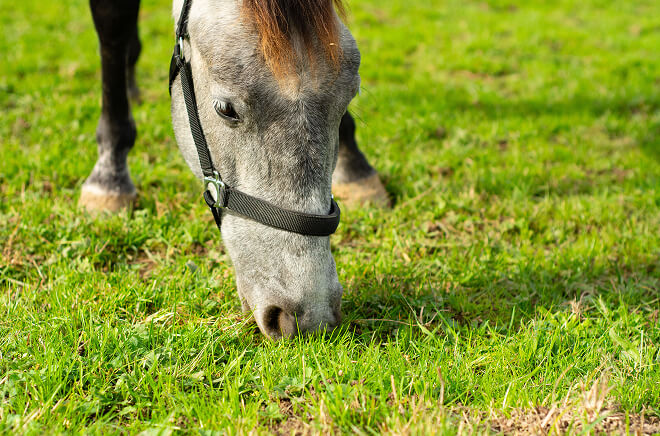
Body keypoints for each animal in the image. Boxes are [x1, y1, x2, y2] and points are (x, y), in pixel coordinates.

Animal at [80, 0, 388, 338]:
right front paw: (109, 177)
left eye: (348, 100)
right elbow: (114, 30)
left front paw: (356, 169)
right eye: (225, 109)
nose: (310, 315)